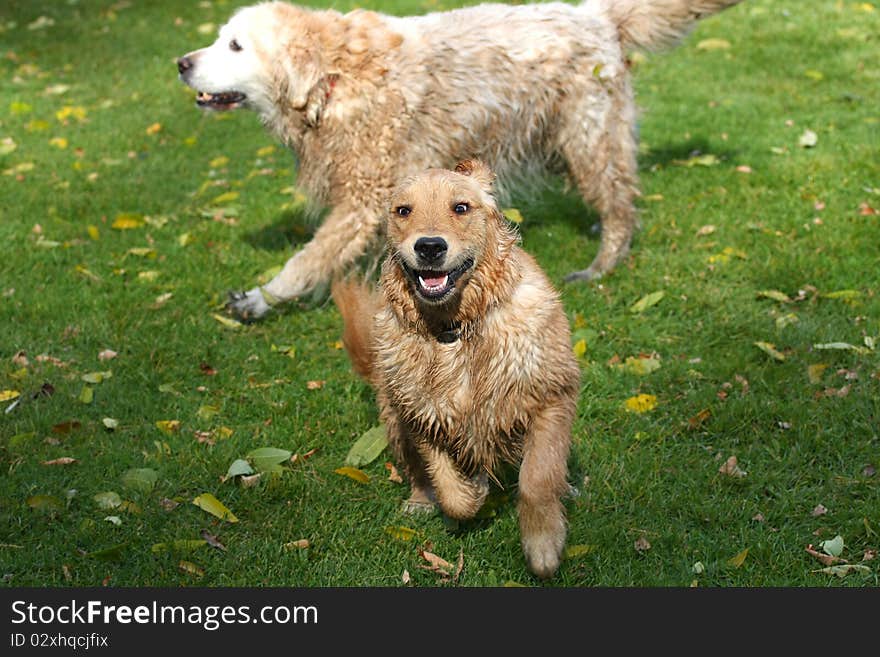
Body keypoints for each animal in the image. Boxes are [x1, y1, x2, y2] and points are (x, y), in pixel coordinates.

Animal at [179, 0, 744, 318]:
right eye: (219, 39)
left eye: (235, 45)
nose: (181, 63)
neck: (335, 79)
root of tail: (595, 14)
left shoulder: (363, 202)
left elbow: (305, 261)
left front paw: (262, 298)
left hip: (588, 139)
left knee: (621, 205)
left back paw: (602, 263)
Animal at [334, 160, 580, 580]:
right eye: (403, 210)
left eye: (460, 207)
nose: (429, 246)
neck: (454, 329)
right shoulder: (421, 415)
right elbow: (450, 490)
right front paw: (473, 490)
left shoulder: (550, 396)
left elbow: (537, 477)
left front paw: (543, 545)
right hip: (392, 416)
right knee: (418, 473)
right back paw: (421, 500)